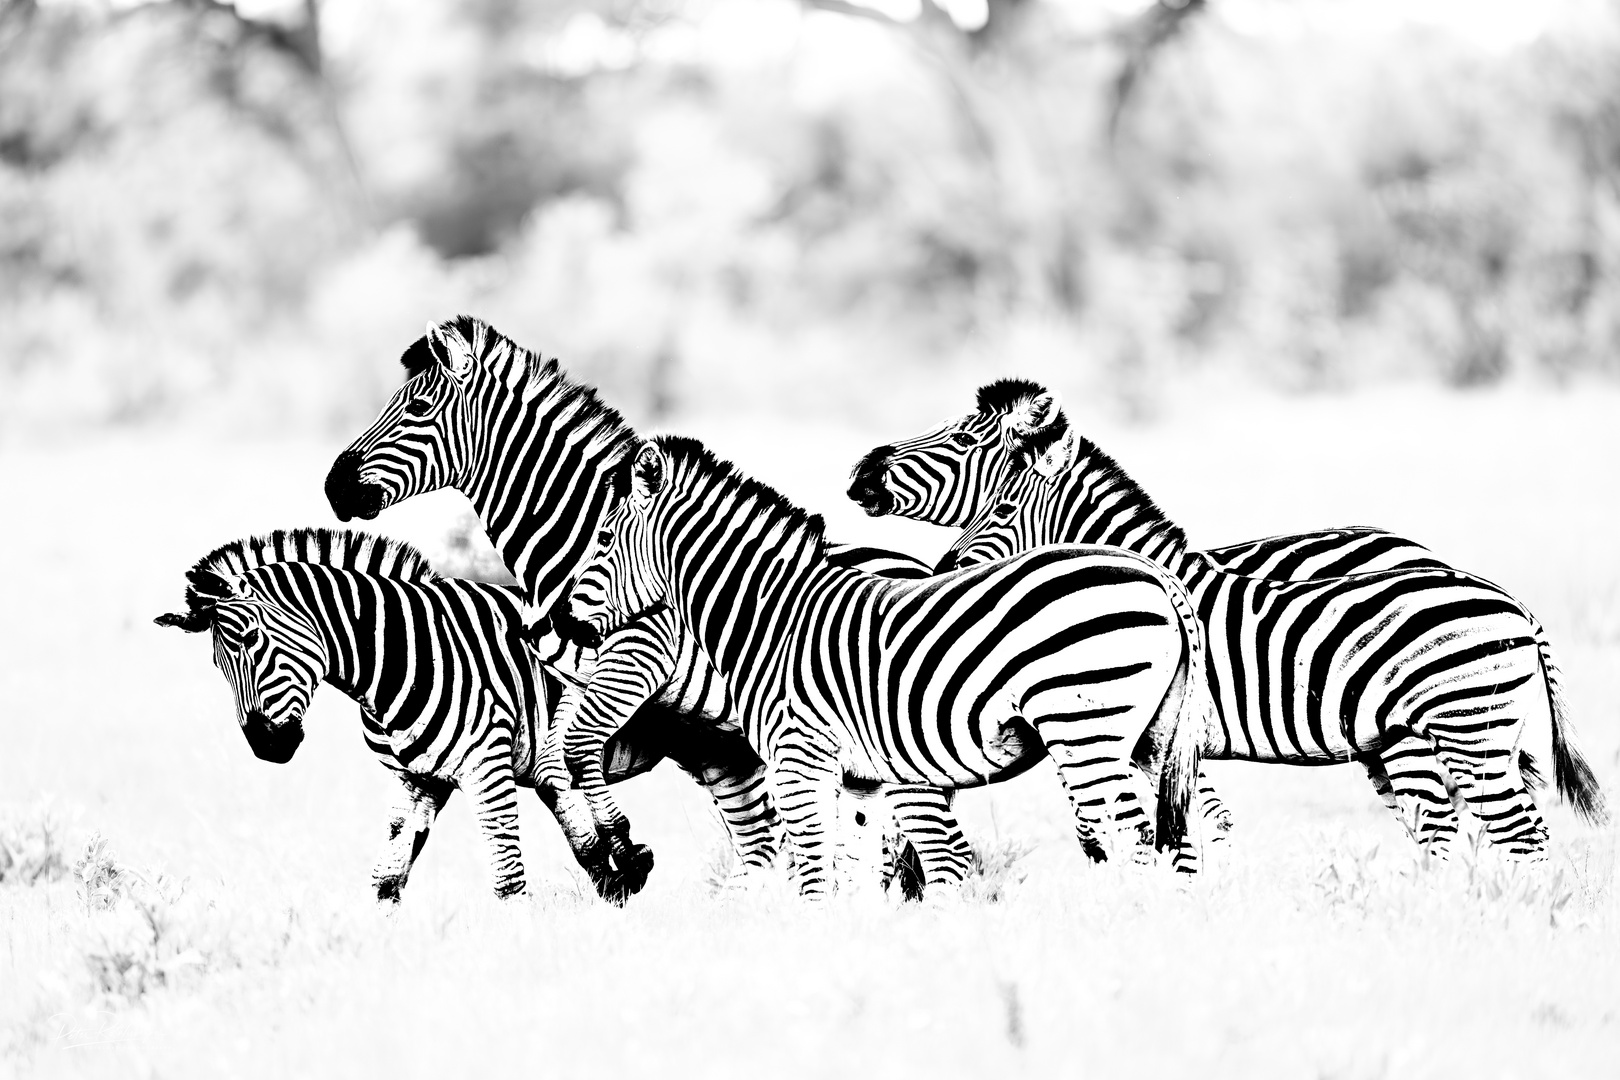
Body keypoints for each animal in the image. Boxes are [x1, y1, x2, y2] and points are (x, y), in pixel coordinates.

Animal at [152, 524, 745, 906]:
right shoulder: (421, 777)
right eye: (217, 663)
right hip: (715, 742)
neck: (401, 657)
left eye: (251, 639)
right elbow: (389, 877)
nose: (266, 747)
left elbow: (511, 876)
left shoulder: (492, 768)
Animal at [324, 318, 972, 893]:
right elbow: (556, 754)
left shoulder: (639, 654)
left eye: (418, 408)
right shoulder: (577, 676)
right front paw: (612, 851)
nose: (333, 488)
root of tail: (918, 565)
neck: (587, 538)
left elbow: (571, 748)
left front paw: (618, 845)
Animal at [570, 433, 1218, 900]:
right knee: (1166, 832)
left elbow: (813, 871)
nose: (564, 622)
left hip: (1085, 726)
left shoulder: (799, 758)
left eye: (602, 539)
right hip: (1150, 738)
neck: (772, 615)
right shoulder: (861, 778)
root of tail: (1158, 573)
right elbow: (852, 870)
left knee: (1130, 833)